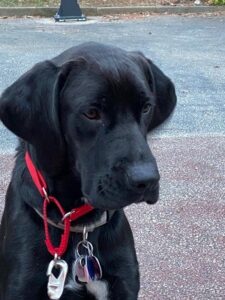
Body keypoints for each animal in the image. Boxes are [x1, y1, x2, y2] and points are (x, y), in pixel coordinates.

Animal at [0, 42, 177, 300]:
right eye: (92, 113)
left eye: (146, 107)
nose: (146, 179)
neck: (77, 226)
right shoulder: (20, 286)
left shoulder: (123, 284)